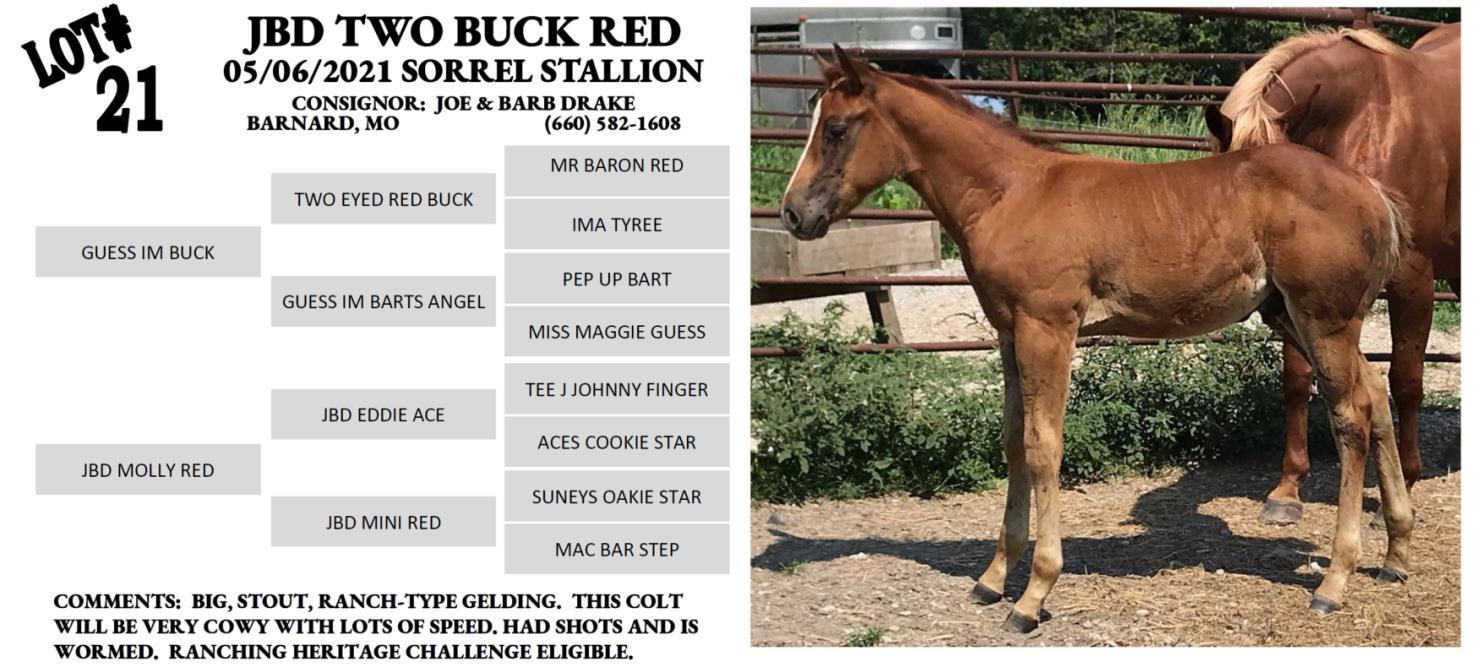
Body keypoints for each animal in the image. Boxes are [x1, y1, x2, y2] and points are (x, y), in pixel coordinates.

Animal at [780, 45, 1413, 632]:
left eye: (836, 130)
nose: (792, 213)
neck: (1010, 193)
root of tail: (1372, 192)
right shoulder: (1009, 333)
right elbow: (1013, 441)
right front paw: (993, 577)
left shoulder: (1048, 328)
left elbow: (1043, 446)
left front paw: (1034, 594)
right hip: (1298, 318)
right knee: (1374, 394)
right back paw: (1397, 553)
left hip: (1322, 318)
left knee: (1351, 417)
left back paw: (1336, 580)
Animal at [1205, 26, 1460, 526]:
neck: (1368, 120)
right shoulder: (1301, 286)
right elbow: (1299, 379)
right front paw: (1287, 489)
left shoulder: (1413, 279)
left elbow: (1405, 381)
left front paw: (1402, 488)